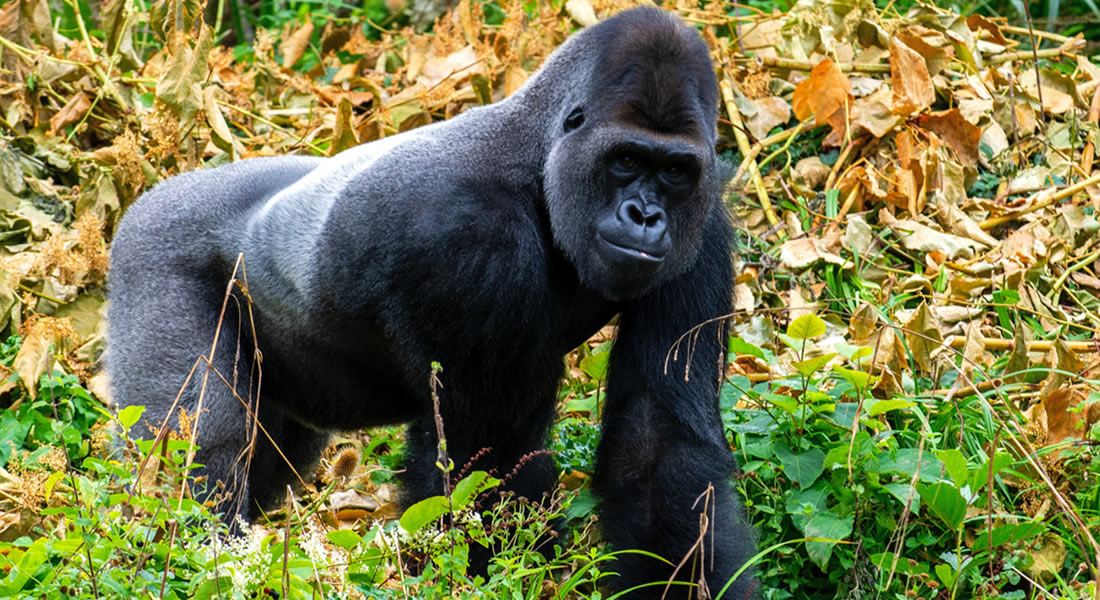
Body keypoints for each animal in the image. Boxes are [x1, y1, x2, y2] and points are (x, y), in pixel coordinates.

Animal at [109, 4, 756, 594]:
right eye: (625, 159)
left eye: (674, 171)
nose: (645, 215)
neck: (539, 159)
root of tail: (152, 196)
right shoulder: (468, 239)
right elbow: (480, 469)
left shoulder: (703, 231)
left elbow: (657, 444)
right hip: (152, 253)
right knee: (197, 459)